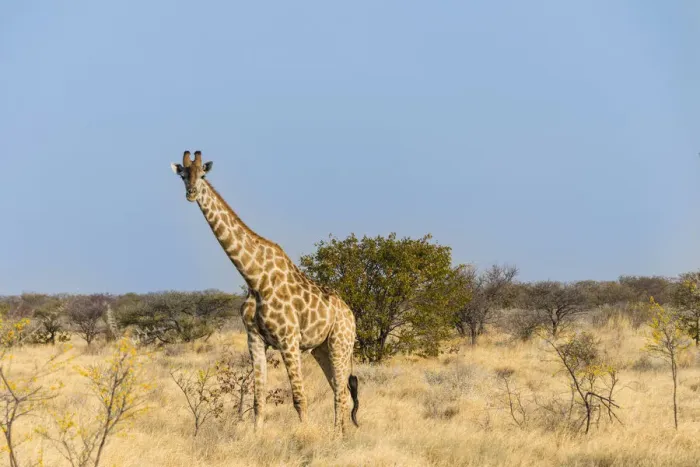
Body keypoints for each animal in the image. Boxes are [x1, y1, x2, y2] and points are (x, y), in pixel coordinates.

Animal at [170, 150, 359, 436]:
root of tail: (351, 314)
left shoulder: (289, 340)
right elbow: (258, 397)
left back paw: (338, 436)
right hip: (321, 349)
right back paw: (341, 434)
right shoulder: (255, 339)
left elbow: (299, 397)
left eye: (202, 175)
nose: (191, 193)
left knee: (341, 392)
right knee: (340, 390)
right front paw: (255, 436)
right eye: (183, 175)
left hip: (341, 342)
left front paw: (305, 437)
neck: (255, 278)